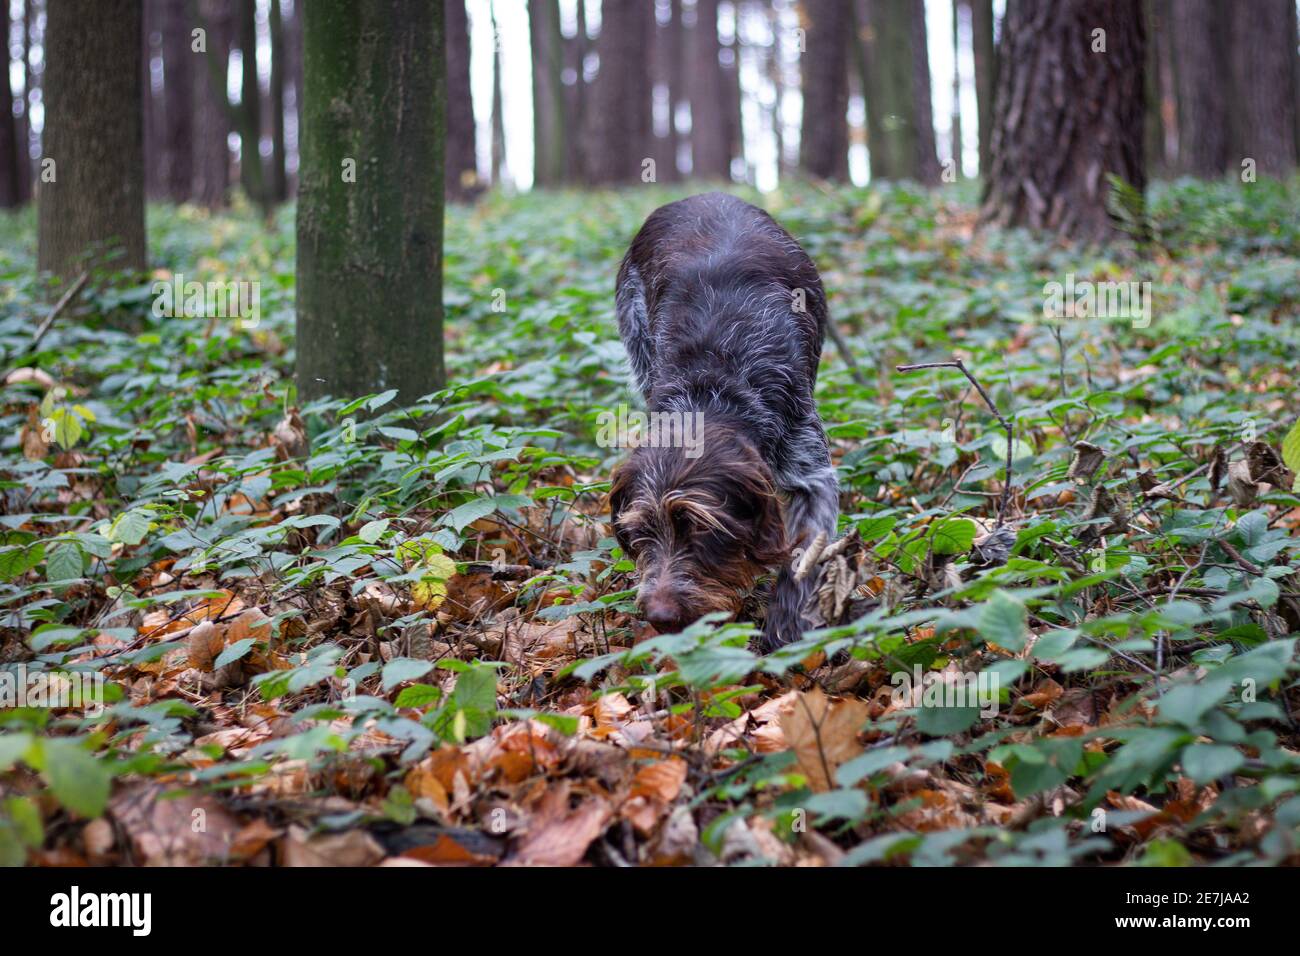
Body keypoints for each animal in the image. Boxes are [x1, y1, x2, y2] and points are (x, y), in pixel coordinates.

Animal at [611, 192, 837, 650]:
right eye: (641, 531)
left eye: (700, 528)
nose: (659, 616)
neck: (713, 385)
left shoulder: (812, 471)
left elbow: (804, 553)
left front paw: (785, 629)